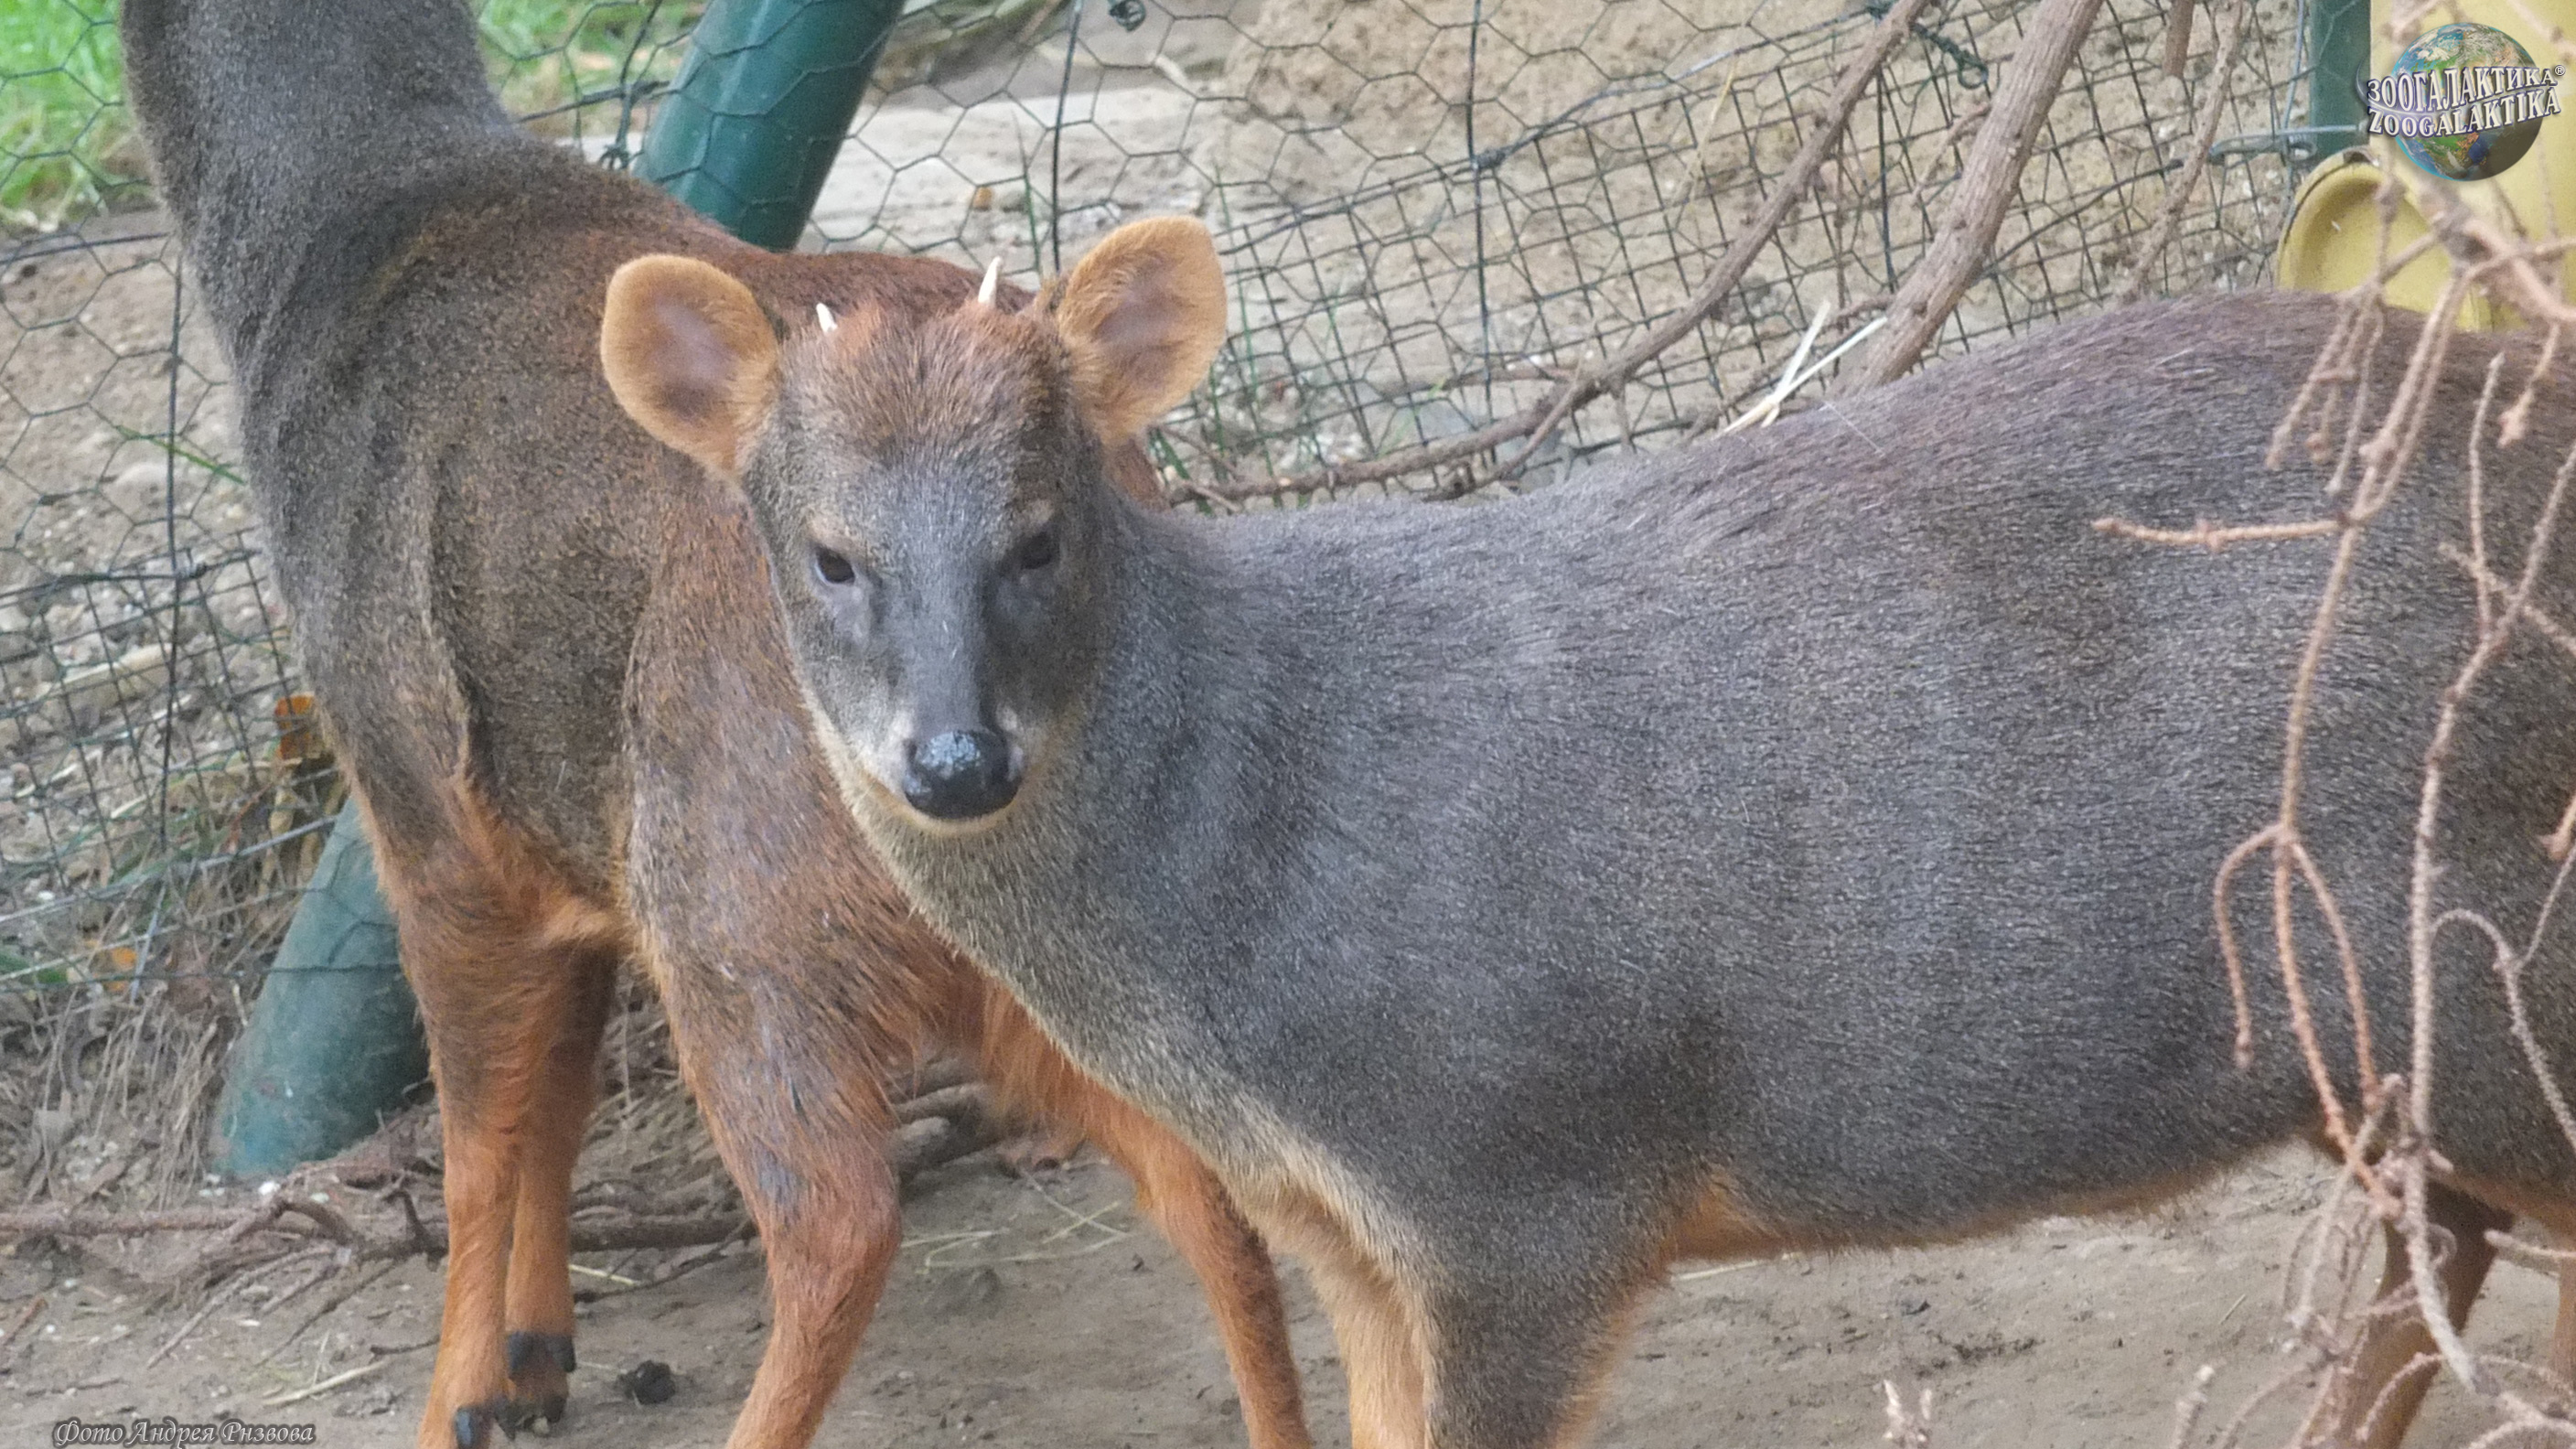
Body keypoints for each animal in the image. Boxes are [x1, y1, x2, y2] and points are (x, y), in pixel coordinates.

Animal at [115, 4, 1313, 1449]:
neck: (343, 239)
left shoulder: (420, 796)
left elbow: (474, 1142)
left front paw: (461, 1395)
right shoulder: (566, 832)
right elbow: (560, 1098)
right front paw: (536, 1353)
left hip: (736, 893)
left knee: (841, 1218)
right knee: (1208, 1182)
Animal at [600, 213, 2576, 1449]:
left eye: (1036, 532)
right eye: (826, 554)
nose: (951, 757)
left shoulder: (1528, 1188)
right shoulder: (1350, 1232)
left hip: (2485, 965)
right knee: (2435, 1264)